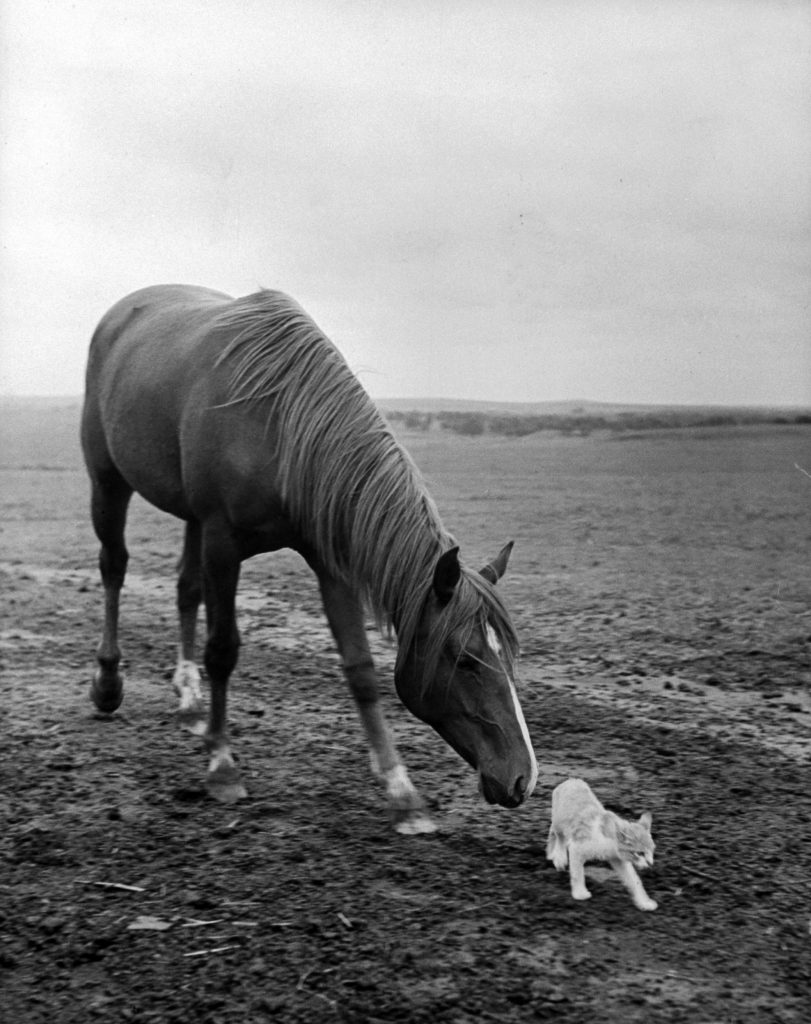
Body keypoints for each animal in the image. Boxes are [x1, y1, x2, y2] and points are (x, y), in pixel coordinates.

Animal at [82, 282, 536, 831]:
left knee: (185, 587)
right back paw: (109, 682)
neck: (280, 428)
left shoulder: (329, 558)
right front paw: (222, 766)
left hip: (190, 518)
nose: (523, 778)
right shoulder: (223, 543)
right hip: (109, 482)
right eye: (466, 660)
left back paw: (190, 701)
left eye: (507, 657)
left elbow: (359, 666)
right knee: (114, 567)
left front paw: (401, 789)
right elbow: (223, 650)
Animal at [544, 774, 659, 913]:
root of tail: (572, 779)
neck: (609, 843)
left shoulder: (618, 859)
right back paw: (559, 859)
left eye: (652, 851)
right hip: (559, 823)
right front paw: (580, 894)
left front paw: (644, 903)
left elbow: (634, 880)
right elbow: (577, 874)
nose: (651, 864)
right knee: (559, 837)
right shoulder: (577, 849)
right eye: (640, 853)